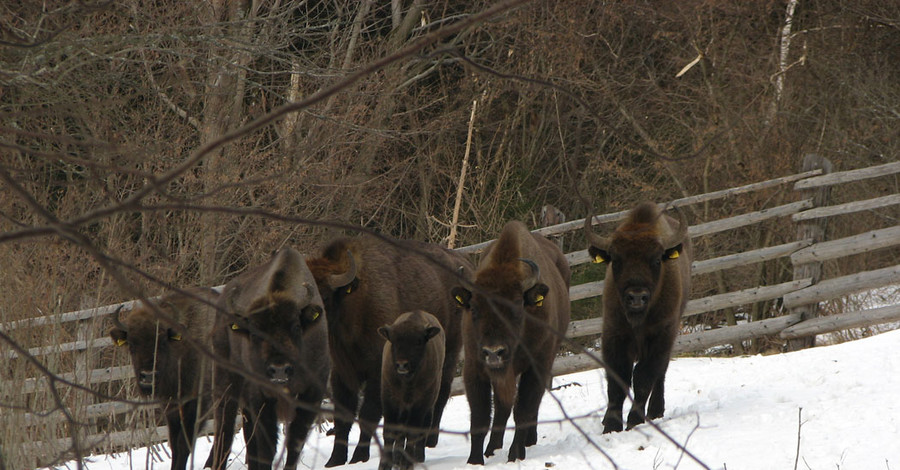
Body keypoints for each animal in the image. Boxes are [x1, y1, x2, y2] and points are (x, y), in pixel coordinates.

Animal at [107, 286, 220, 470]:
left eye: (162, 342)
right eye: (132, 345)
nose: (148, 376)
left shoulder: (197, 402)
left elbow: (184, 442)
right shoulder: (170, 404)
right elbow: (174, 442)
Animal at [306, 235, 474, 466]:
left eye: (325, 295)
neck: (356, 300)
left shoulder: (377, 372)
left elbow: (368, 413)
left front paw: (359, 457)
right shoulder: (342, 373)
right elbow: (343, 415)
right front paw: (335, 460)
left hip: (450, 352)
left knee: (441, 395)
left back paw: (429, 441)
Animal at [450, 222, 568, 464]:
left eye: (516, 306)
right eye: (474, 308)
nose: (494, 352)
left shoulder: (537, 366)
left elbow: (523, 409)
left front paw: (515, 455)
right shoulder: (475, 367)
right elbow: (480, 416)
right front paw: (475, 460)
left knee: (530, 405)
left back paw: (528, 441)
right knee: (502, 407)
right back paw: (492, 448)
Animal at [584, 200, 696, 432]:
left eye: (656, 260)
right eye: (616, 259)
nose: (636, 297)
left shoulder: (660, 336)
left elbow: (644, 378)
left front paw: (634, 420)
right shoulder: (614, 334)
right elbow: (618, 379)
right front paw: (611, 425)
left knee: (660, 373)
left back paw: (655, 411)